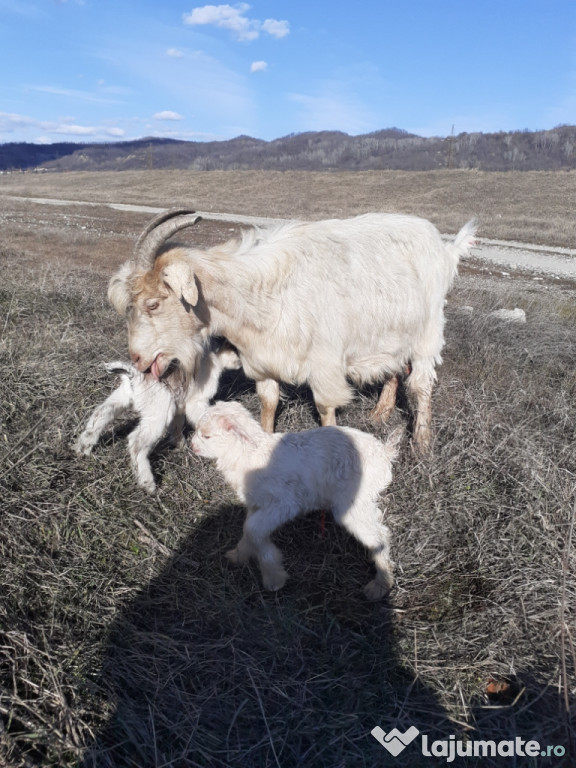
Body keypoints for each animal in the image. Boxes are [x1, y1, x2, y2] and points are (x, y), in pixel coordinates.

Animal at [109, 207, 476, 452]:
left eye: (153, 304)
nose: (138, 359)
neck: (261, 293)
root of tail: (445, 248)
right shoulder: (263, 359)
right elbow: (268, 403)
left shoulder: (325, 363)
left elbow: (326, 410)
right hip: (393, 332)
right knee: (396, 367)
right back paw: (381, 413)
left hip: (428, 330)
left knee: (421, 384)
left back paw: (423, 445)